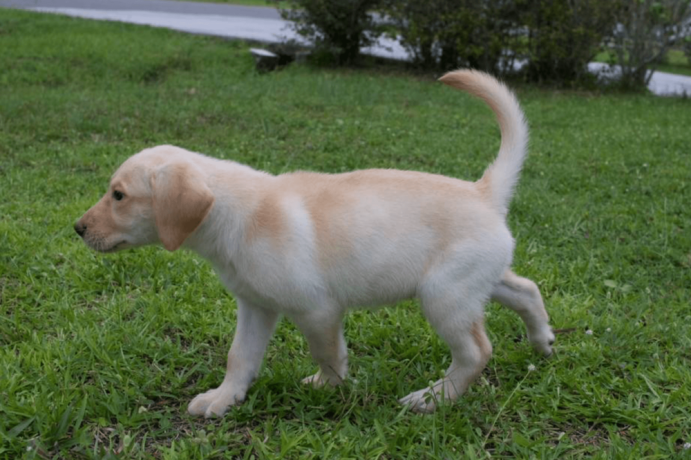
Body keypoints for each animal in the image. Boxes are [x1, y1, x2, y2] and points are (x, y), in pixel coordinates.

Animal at [75, 69, 556, 416]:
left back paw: (433, 397)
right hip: (475, 282)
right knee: (526, 289)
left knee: (476, 351)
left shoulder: (316, 308)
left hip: (444, 295)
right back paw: (543, 341)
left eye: (118, 195)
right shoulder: (255, 305)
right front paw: (223, 398)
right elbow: (239, 356)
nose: (77, 228)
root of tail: (484, 191)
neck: (237, 213)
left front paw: (329, 386)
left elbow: (326, 352)